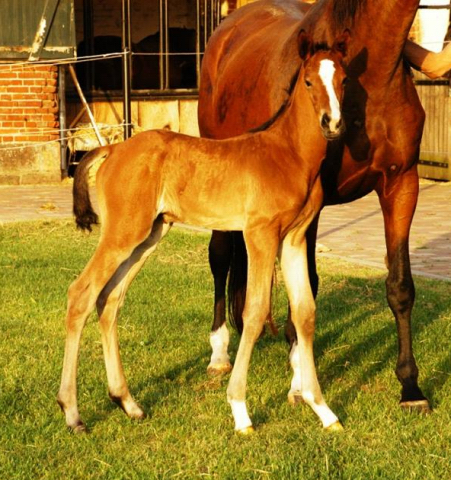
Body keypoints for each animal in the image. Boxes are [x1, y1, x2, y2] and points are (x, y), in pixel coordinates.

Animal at [57, 31, 350, 434]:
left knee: (110, 299)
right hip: (122, 233)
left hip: (148, 236)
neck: (288, 154)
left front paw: (322, 410)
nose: (332, 123)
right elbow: (254, 312)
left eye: (344, 80)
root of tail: (112, 148)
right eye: (308, 81)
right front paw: (240, 411)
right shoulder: (260, 235)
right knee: (81, 294)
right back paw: (72, 413)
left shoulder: (293, 239)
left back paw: (127, 403)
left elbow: (304, 313)